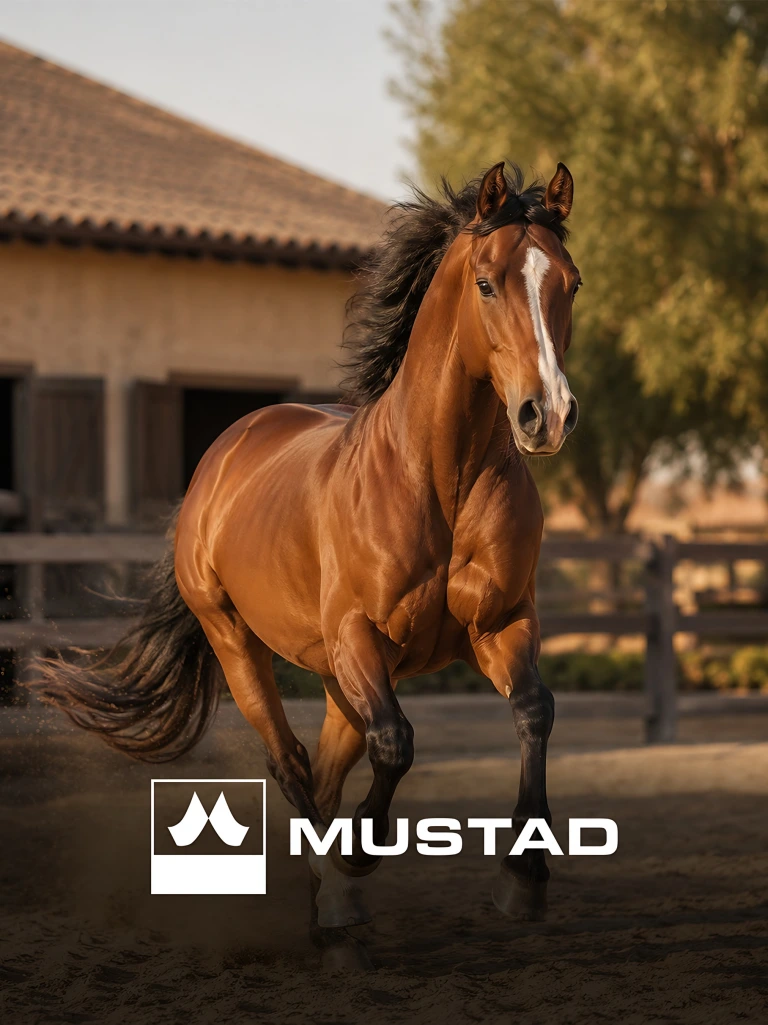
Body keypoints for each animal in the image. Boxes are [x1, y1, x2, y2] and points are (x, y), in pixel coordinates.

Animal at [38, 160, 581, 966]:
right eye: (487, 283)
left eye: (569, 282)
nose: (547, 416)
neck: (438, 478)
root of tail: (227, 451)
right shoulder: (360, 636)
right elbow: (398, 745)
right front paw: (355, 865)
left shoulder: (503, 624)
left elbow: (533, 712)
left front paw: (524, 878)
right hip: (242, 645)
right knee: (291, 764)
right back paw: (332, 896)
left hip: (336, 680)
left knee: (323, 774)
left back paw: (325, 901)